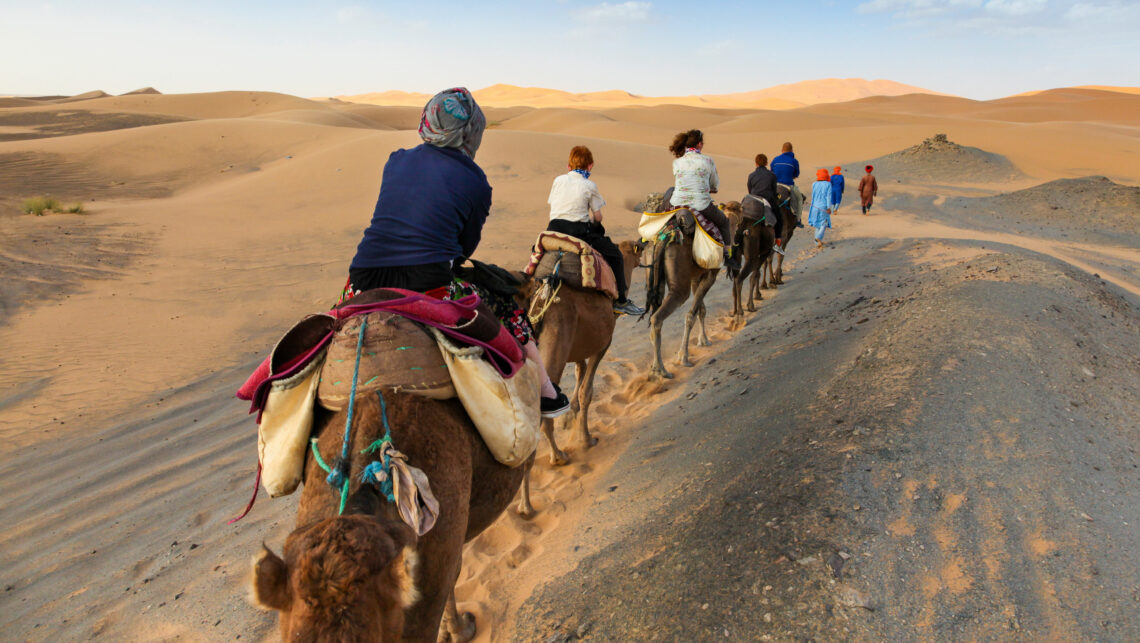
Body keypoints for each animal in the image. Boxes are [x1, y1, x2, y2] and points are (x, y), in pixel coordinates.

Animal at [517, 241, 642, 517]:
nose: (645, 244)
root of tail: (542, 300)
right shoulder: (602, 344)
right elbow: (587, 391)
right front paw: (586, 439)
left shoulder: (578, 350)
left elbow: (579, 373)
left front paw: (571, 419)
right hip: (555, 344)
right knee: (541, 414)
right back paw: (528, 502)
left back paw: (554, 460)